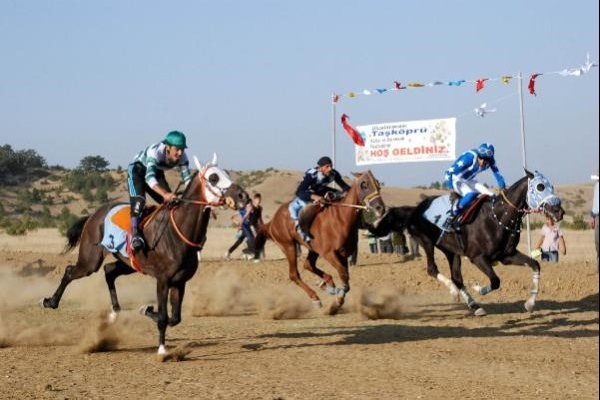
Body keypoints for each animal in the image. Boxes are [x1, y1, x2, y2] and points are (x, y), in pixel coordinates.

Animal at [40, 155, 248, 354]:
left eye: (226, 173)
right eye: (213, 177)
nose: (243, 196)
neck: (179, 231)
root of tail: (93, 215)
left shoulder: (179, 282)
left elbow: (175, 318)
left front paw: (146, 309)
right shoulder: (163, 280)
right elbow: (164, 317)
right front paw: (162, 349)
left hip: (129, 263)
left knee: (109, 270)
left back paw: (114, 312)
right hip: (90, 260)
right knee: (70, 271)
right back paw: (50, 301)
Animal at [252, 170, 384, 310]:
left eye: (377, 184)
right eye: (364, 185)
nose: (380, 208)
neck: (341, 218)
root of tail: (272, 222)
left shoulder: (343, 254)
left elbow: (345, 277)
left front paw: (337, 293)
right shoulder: (329, 254)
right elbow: (343, 275)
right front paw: (338, 300)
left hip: (312, 249)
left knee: (308, 265)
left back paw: (327, 285)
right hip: (289, 246)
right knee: (294, 274)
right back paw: (316, 297)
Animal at [368, 169, 564, 316]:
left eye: (551, 186)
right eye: (540, 187)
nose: (559, 211)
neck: (498, 217)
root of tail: (415, 209)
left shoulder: (507, 256)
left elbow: (535, 265)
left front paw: (530, 304)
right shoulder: (477, 257)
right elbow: (495, 281)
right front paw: (478, 288)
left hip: (451, 251)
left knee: (457, 278)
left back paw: (473, 305)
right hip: (427, 242)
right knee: (433, 269)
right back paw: (456, 293)